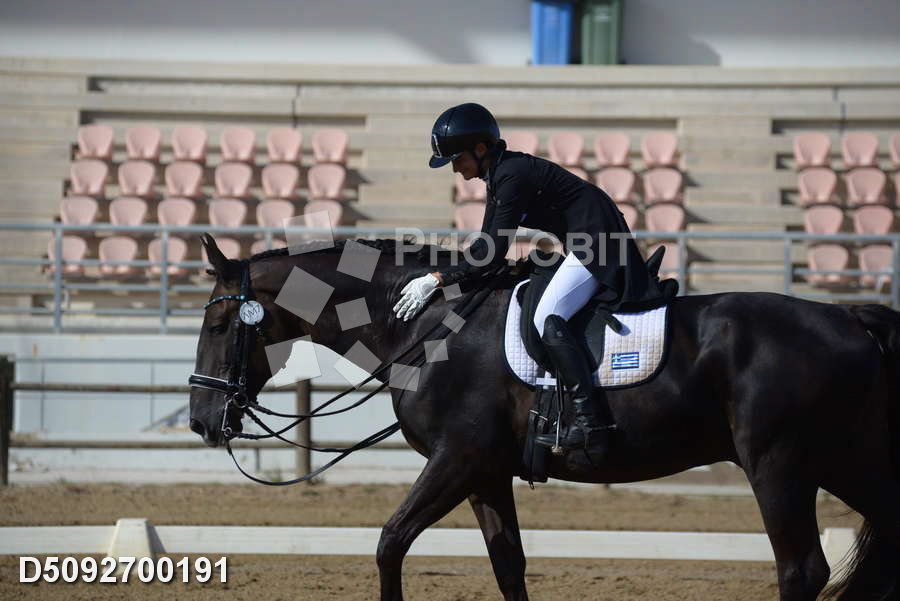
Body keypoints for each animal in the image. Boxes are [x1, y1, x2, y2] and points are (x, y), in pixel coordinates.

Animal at [188, 234, 900, 601]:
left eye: (220, 325)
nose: (201, 419)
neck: (426, 328)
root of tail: (848, 317)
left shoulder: (458, 458)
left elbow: (390, 542)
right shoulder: (484, 472)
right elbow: (508, 563)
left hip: (780, 465)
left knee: (802, 570)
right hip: (846, 460)